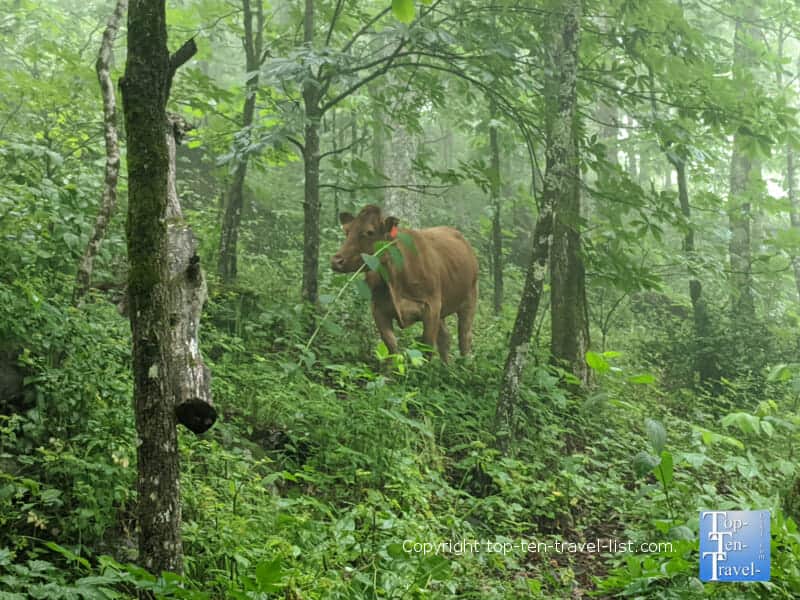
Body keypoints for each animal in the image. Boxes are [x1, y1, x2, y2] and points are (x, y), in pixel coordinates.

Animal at [331, 205, 478, 362]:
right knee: (445, 337)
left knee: (465, 337)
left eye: (369, 232)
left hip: (470, 297)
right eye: (347, 230)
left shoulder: (431, 307)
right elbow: (391, 346)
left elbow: (427, 347)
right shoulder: (378, 309)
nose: (336, 261)